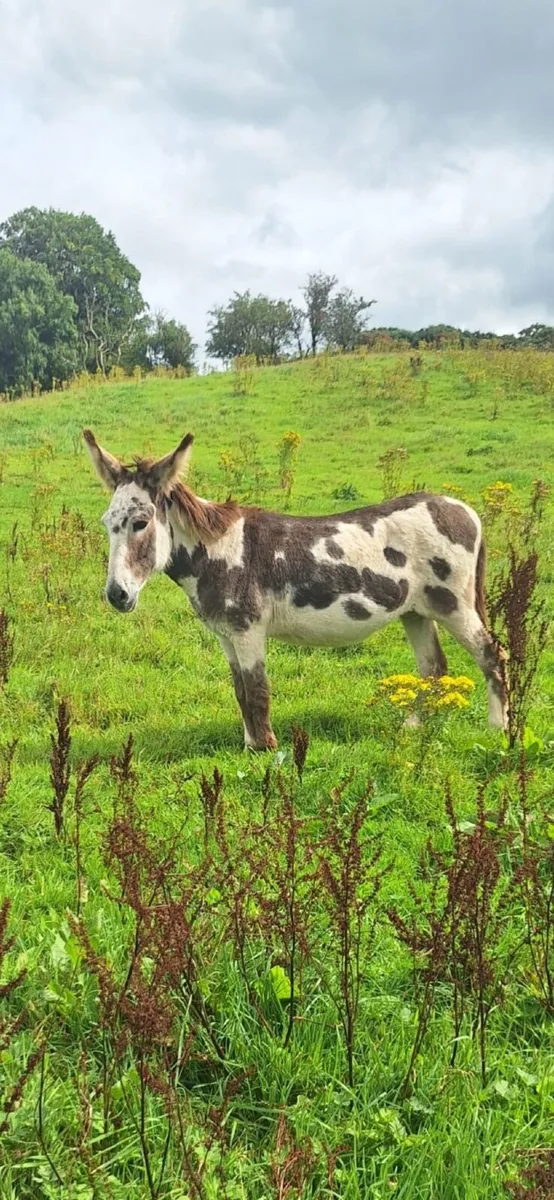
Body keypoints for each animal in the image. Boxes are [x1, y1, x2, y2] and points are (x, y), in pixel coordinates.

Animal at [84, 429, 508, 749]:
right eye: (107, 524)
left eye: (140, 523)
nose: (116, 595)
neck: (218, 550)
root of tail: (464, 508)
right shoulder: (225, 634)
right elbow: (240, 689)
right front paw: (249, 744)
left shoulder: (247, 629)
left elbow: (257, 689)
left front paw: (265, 749)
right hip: (415, 611)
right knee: (433, 668)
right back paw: (416, 728)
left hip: (454, 605)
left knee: (492, 655)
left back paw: (498, 729)